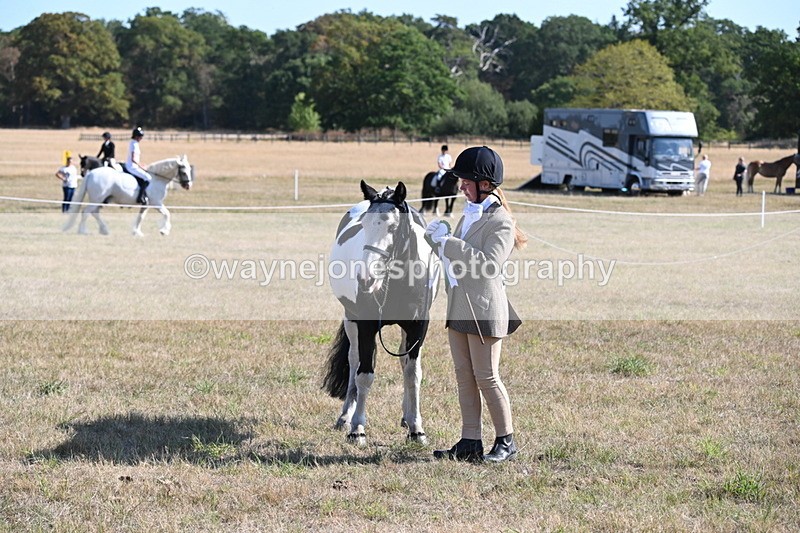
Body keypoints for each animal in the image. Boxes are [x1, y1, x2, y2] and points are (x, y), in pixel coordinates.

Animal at [63, 155, 193, 236]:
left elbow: (141, 217)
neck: (157, 179)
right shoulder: (157, 203)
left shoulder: (146, 205)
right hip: (97, 199)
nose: (188, 185)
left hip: (100, 199)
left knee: (94, 212)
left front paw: (137, 232)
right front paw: (164, 231)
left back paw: (104, 230)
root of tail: (91, 173)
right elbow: (167, 214)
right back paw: (83, 231)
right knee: (86, 212)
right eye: (184, 171)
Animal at [323, 180, 440, 446]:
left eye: (393, 227)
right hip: (351, 319)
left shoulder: (418, 328)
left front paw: (417, 429)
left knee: (404, 364)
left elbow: (412, 374)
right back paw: (345, 417)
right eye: (364, 224)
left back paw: (407, 417)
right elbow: (364, 375)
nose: (365, 278)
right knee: (354, 360)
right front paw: (357, 429)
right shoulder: (365, 325)